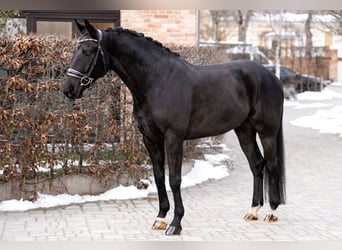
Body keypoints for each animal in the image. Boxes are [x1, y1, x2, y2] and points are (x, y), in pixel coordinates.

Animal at [63, 20, 286, 235]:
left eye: (88, 51)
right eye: (75, 50)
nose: (68, 89)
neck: (158, 80)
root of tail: (272, 77)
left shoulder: (174, 139)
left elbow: (175, 179)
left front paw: (175, 223)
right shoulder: (150, 139)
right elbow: (159, 177)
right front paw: (160, 218)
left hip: (267, 132)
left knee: (272, 164)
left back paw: (272, 211)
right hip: (244, 131)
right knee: (257, 164)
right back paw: (253, 210)